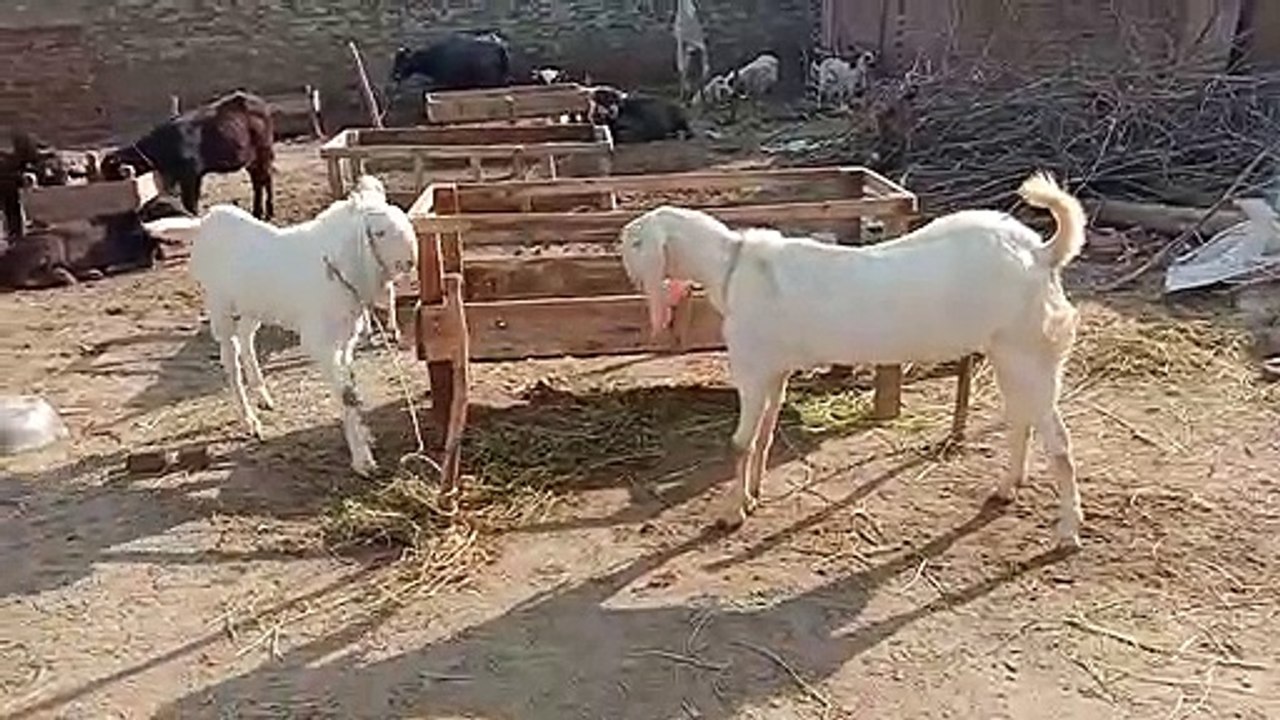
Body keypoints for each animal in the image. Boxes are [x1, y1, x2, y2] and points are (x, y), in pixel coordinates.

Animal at [100, 91, 275, 220]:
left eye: (113, 176)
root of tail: (258, 102)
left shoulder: (191, 175)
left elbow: (190, 202)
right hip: (251, 160)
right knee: (257, 182)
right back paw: (257, 213)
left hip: (264, 152)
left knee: (266, 179)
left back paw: (269, 212)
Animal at [142, 176, 418, 476]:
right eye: (379, 232)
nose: (411, 259)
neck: (336, 267)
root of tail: (203, 224)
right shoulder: (321, 342)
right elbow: (346, 395)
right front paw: (363, 461)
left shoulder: (345, 340)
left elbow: (352, 390)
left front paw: (365, 438)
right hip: (220, 305)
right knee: (230, 355)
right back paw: (250, 420)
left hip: (253, 306)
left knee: (246, 338)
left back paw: (263, 395)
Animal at [618, 172, 1088, 549]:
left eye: (633, 242)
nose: (625, 268)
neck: (732, 267)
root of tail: (1042, 253)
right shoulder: (775, 369)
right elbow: (765, 436)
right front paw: (752, 497)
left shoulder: (751, 367)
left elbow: (740, 443)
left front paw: (730, 513)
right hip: (1009, 353)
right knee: (1021, 421)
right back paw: (1007, 488)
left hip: (1030, 351)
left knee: (1060, 443)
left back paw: (1068, 531)